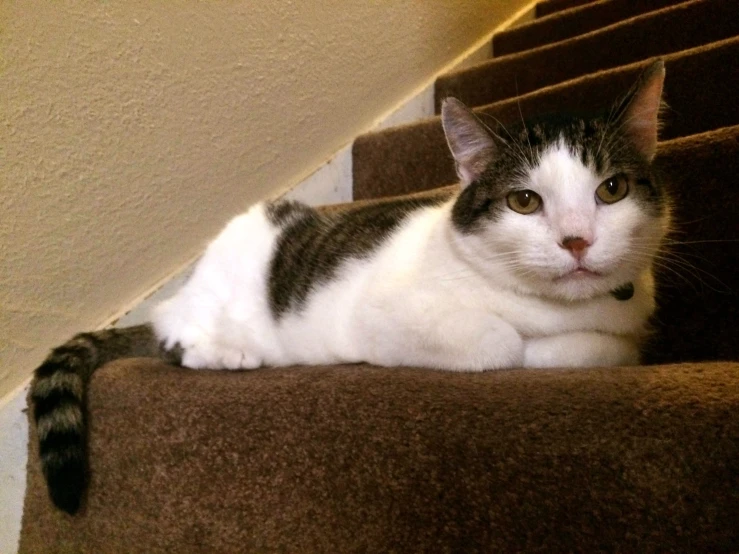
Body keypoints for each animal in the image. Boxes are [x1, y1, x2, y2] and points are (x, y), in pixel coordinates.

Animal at [33, 60, 672, 512]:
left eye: (611, 190)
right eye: (524, 201)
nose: (576, 240)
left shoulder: (630, 322)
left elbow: (611, 346)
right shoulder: (385, 316)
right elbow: (503, 344)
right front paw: (536, 347)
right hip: (217, 299)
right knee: (172, 331)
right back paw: (225, 353)